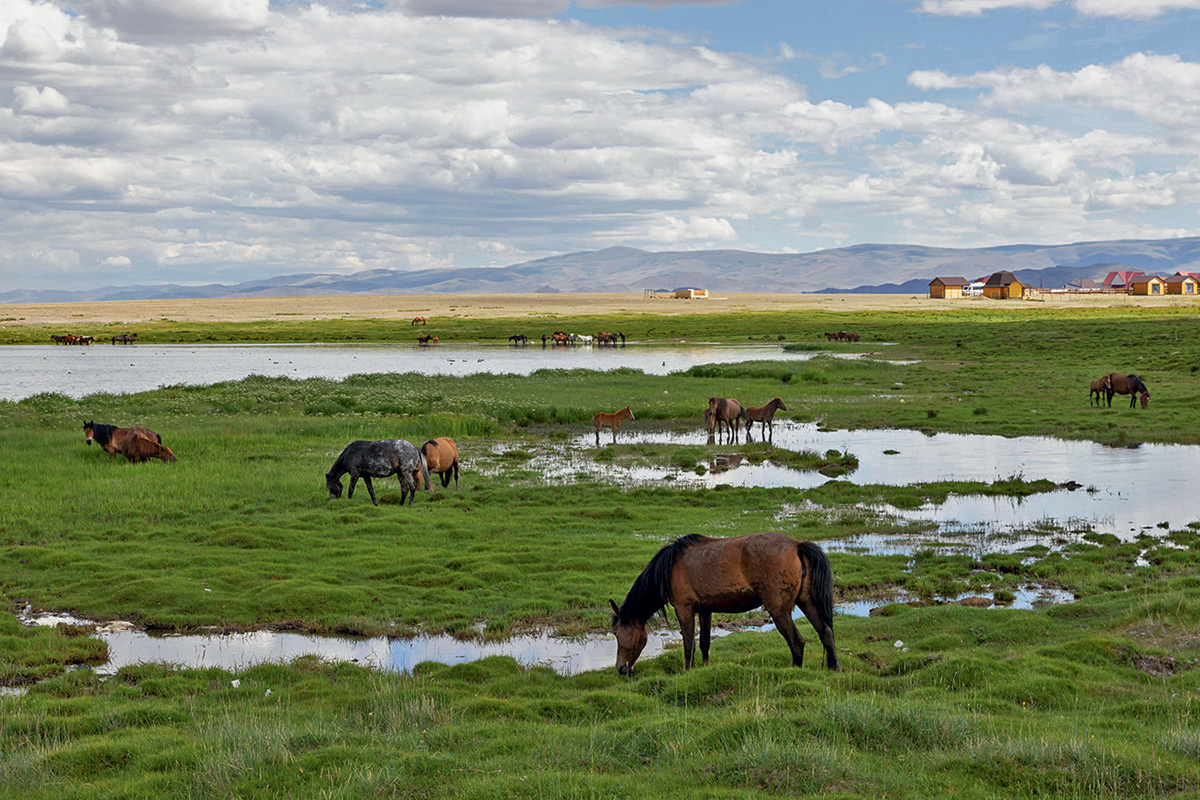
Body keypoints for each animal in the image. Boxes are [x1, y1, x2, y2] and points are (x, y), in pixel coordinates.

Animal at [614, 532, 840, 676]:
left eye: (616, 632)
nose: (621, 668)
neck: (670, 567)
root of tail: (796, 545)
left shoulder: (684, 610)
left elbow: (689, 644)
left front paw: (688, 671)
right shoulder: (705, 610)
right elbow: (704, 642)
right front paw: (704, 668)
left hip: (778, 609)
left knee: (797, 641)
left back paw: (795, 670)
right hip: (807, 602)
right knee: (826, 633)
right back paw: (834, 667)